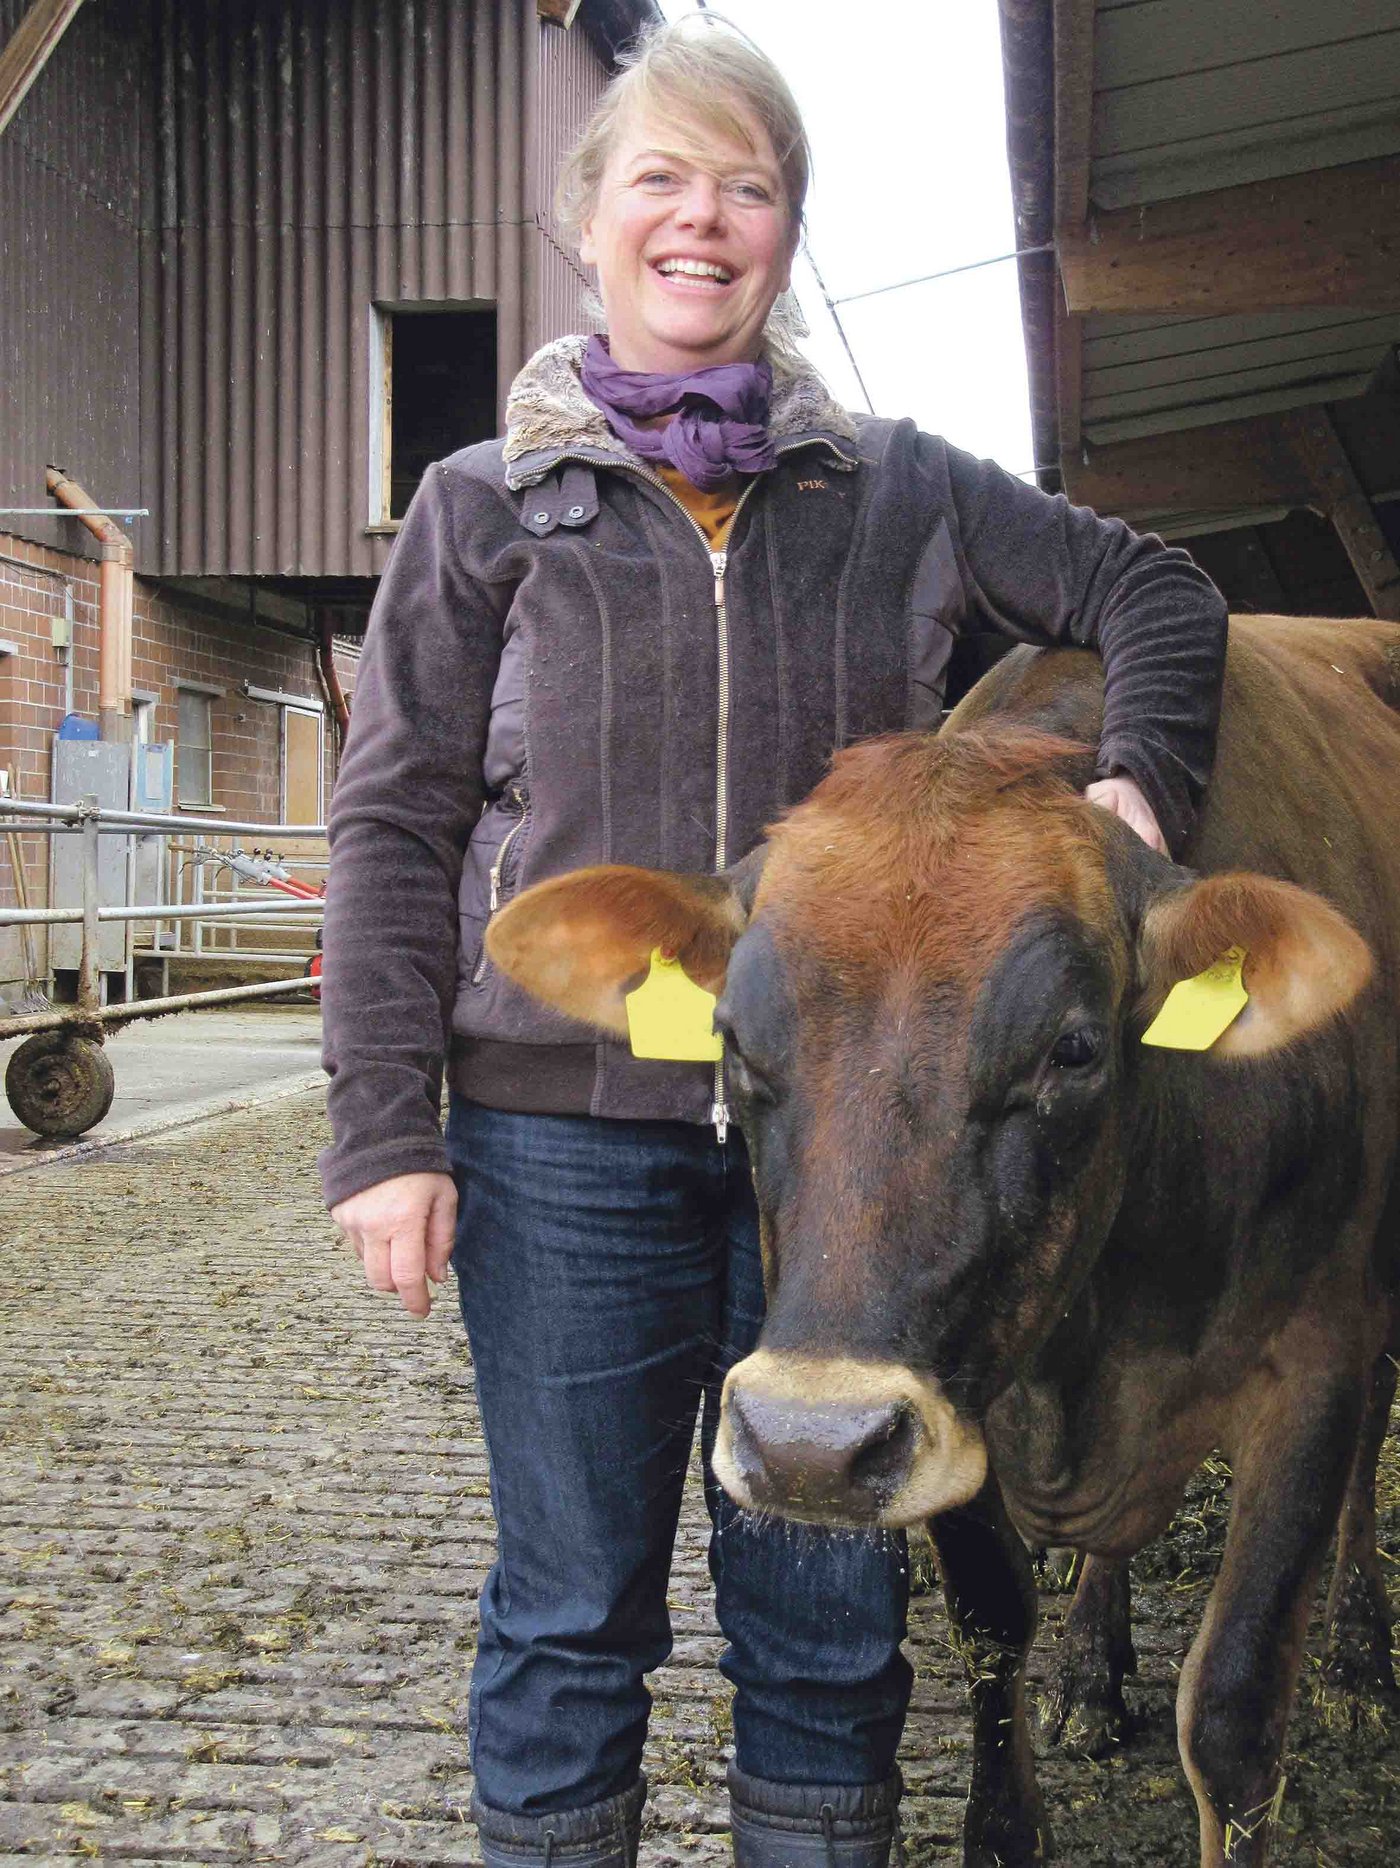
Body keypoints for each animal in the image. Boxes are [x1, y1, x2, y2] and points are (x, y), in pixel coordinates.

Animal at [484, 614, 1400, 1868]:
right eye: (731, 1036)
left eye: (1071, 1048)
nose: (806, 1445)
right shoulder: (958, 1384)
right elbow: (989, 1619)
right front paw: (1007, 1818)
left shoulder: (1311, 1358)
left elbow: (1231, 1707)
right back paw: (1089, 1672)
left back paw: (1357, 1658)